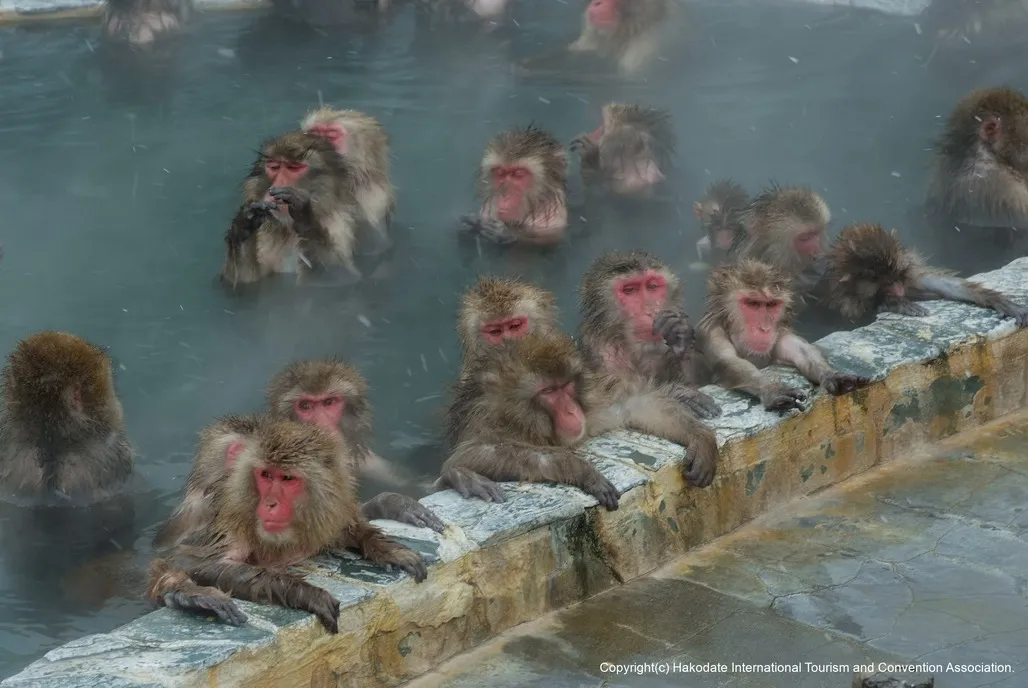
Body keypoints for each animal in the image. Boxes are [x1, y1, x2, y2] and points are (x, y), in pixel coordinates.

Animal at [699, 259, 867, 413]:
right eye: (753, 304)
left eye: (771, 305)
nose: (765, 328)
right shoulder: (713, 333)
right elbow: (728, 362)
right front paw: (772, 390)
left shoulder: (780, 331)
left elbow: (803, 352)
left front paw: (832, 376)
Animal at [822, 223, 1028, 324]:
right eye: (887, 282)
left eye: (898, 277)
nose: (899, 290)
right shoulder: (842, 302)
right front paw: (894, 303)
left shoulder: (910, 276)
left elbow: (942, 285)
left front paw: (999, 301)